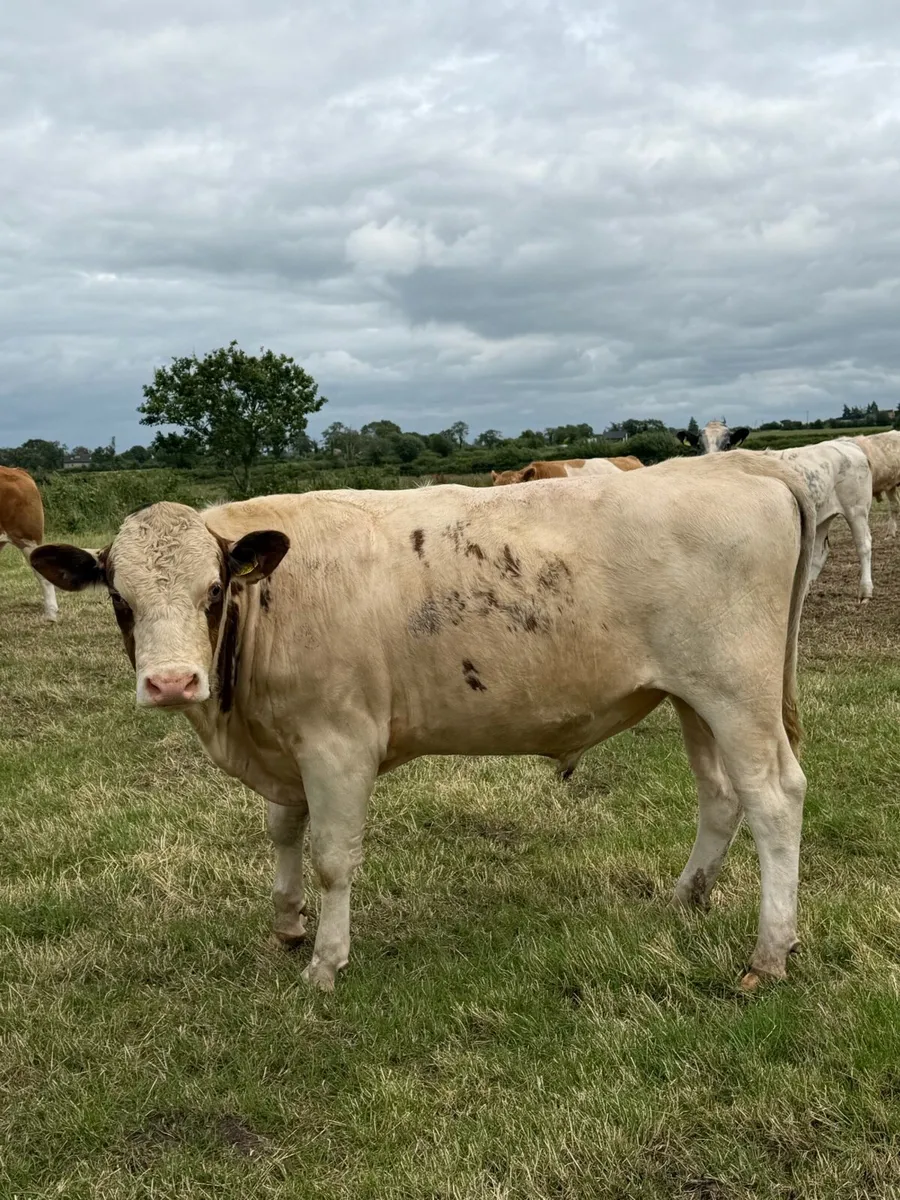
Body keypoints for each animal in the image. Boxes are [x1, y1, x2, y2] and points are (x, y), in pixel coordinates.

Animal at [32, 451, 814, 993]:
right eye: (120, 599)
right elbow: (283, 831)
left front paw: (326, 963)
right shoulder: (287, 746)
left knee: (774, 799)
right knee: (720, 798)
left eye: (215, 590)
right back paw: (686, 896)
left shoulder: (338, 743)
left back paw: (769, 952)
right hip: (693, 698)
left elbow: (331, 857)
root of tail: (742, 464)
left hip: (736, 693)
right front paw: (285, 924)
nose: (171, 682)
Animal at [763, 440, 874, 603]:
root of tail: (846, 443)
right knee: (818, 553)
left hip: (857, 510)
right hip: (821, 517)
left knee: (864, 546)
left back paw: (865, 591)